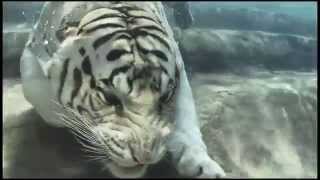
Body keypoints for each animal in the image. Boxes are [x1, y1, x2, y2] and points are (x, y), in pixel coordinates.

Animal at [20, 1, 225, 179]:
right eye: (110, 97)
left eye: (164, 98)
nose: (145, 156)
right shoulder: (32, 57)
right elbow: (50, 106)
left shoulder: (179, 69)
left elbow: (186, 118)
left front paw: (201, 165)